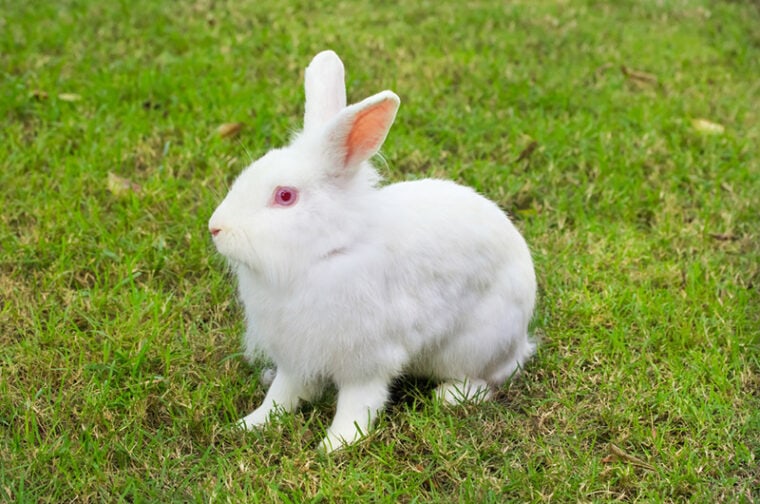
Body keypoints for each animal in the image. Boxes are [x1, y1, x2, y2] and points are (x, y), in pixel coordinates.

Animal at [208, 50, 537, 452]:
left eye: (285, 196)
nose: (216, 228)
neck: (326, 253)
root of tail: (521, 340)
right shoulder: (295, 358)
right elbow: (282, 395)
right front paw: (250, 425)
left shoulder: (366, 359)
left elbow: (358, 403)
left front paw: (335, 445)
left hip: (474, 344)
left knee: (487, 379)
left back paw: (448, 397)